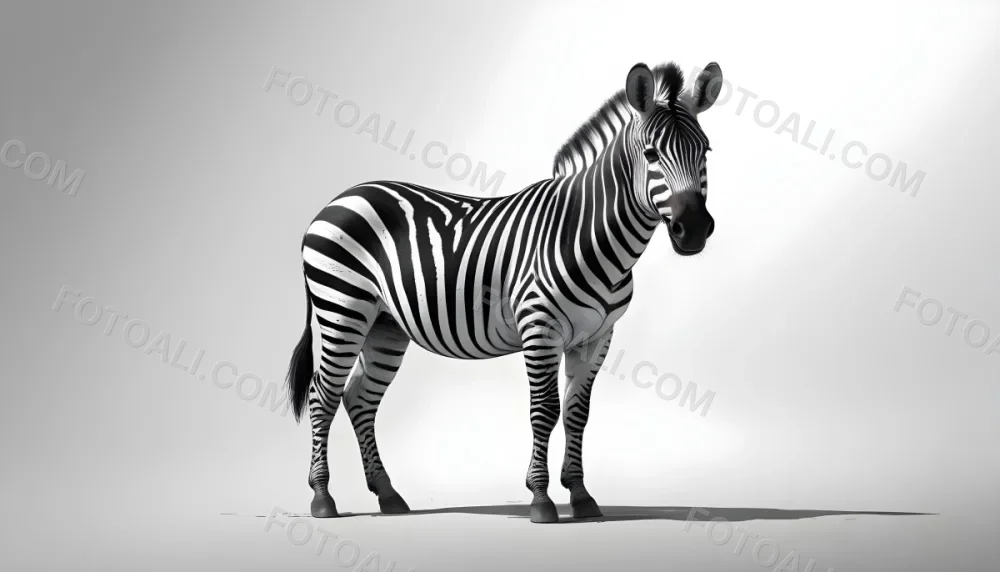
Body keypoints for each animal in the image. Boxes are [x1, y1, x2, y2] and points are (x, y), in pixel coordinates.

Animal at [285, 61, 724, 523]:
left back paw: (388, 495)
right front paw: (541, 499)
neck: (585, 233)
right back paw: (322, 498)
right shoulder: (540, 327)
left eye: (706, 151)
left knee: (359, 398)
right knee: (323, 395)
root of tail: (338, 199)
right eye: (652, 154)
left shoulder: (597, 337)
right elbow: (545, 410)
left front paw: (582, 496)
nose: (694, 229)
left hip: (384, 324)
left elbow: (577, 413)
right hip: (342, 309)